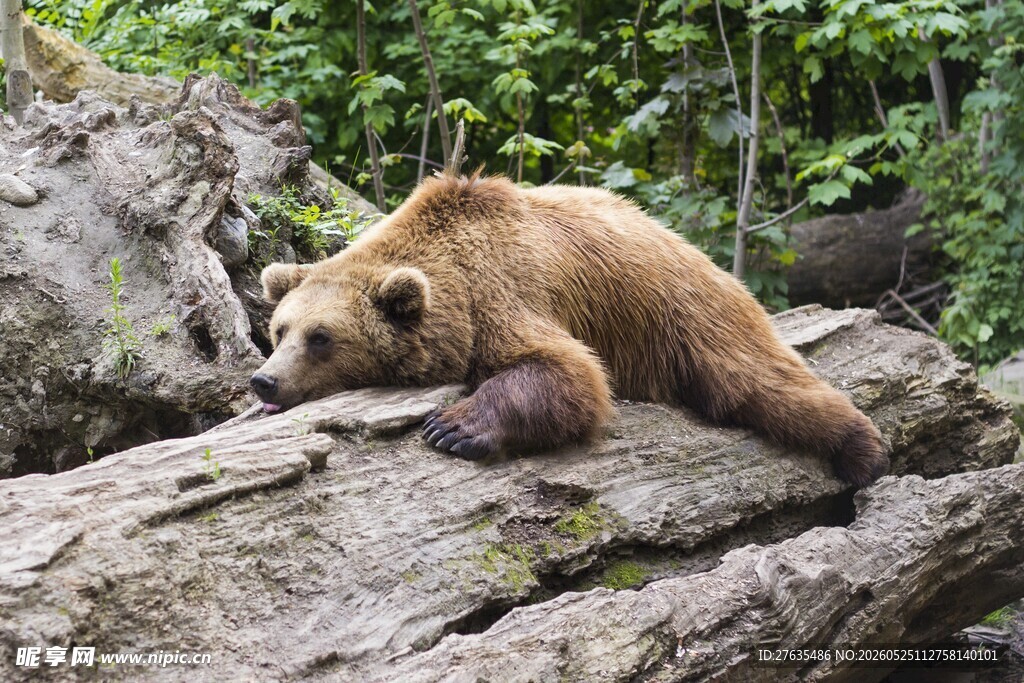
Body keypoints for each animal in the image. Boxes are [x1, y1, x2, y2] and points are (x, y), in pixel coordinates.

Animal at [251, 172, 889, 487]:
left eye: (322, 337)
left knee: (758, 383)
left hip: (685, 314)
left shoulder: (505, 293)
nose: (265, 381)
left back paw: (864, 450)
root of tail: (686, 243)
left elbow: (569, 372)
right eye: (280, 331)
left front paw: (452, 427)